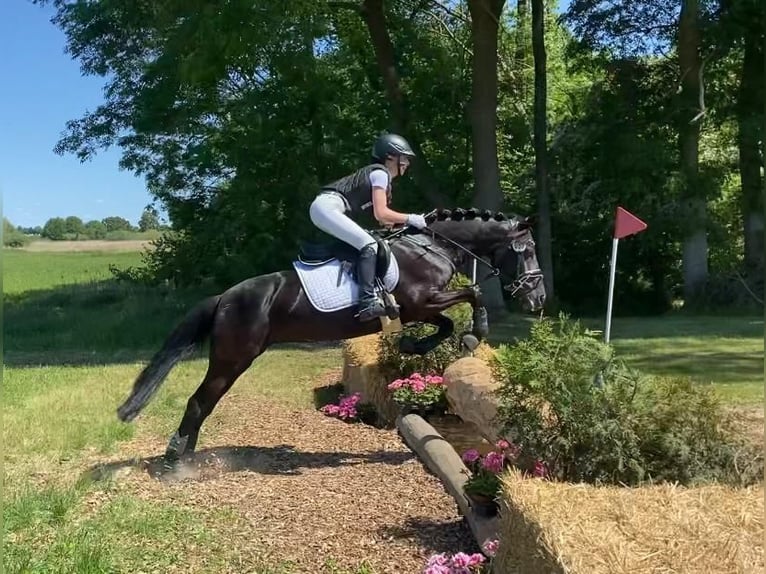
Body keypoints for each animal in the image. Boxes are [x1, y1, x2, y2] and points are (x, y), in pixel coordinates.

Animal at [115, 207, 544, 468]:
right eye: (526, 250)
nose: (538, 299)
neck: (431, 247)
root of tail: (225, 297)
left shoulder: (420, 309)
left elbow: (445, 325)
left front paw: (414, 345)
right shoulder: (421, 302)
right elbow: (471, 297)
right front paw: (477, 333)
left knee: (203, 403)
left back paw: (186, 456)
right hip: (232, 358)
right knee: (199, 401)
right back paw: (175, 460)